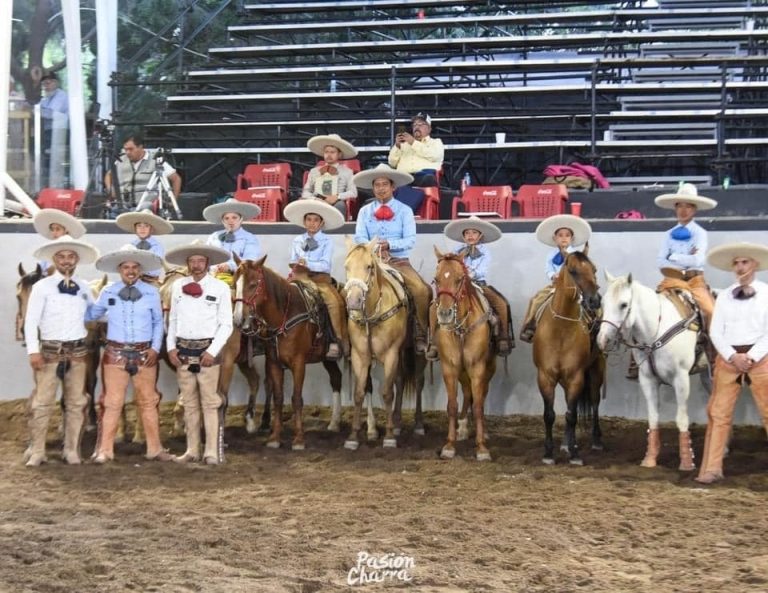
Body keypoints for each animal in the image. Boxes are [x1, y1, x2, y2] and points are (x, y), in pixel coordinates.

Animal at [232, 254, 344, 448]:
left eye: (253, 284)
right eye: (234, 283)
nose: (239, 319)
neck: (285, 314)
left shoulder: (299, 363)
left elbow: (296, 399)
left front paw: (299, 439)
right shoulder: (274, 362)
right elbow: (278, 398)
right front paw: (274, 437)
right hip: (327, 358)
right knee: (336, 378)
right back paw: (334, 423)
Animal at [344, 238, 426, 446]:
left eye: (369, 266)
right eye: (347, 266)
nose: (354, 301)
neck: (372, 315)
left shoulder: (390, 354)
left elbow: (387, 393)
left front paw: (388, 437)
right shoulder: (360, 356)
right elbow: (359, 393)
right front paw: (353, 437)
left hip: (417, 352)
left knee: (418, 382)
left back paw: (418, 425)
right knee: (400, 380)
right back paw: (396, 424)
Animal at [432, 247, 498, 460]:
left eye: (459, 278)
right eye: (436, 279)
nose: (444, 314)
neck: (461, 329)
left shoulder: (477, 367)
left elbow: (478, 406)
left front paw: (482, 448)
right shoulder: (450, 367)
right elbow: (452, 405)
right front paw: (449, 445)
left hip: (488, 368)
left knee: (481, 396)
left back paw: (483, 432)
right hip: (462, 371)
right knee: (468, 393)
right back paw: (461, 429)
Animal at [532, 247, 604, 464]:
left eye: (594, 269)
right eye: (572, 271)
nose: (594, 300)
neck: (560, 330)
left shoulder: (576, 377)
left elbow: (572, 415)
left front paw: (575, 454)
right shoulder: (545, 376)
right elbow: (550, 414)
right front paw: (548, 453)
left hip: (597, 370)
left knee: (595, 401)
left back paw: (595, 441)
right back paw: (565, 444)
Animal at [596, 270, 700, 470]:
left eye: (623, 304)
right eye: (603, 303)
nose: (602, 339)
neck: (655, 333)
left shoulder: (681, 379)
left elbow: (681, 418)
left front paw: (687, 461)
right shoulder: (647, 380)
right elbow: (653, 418)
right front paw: (650, 459)